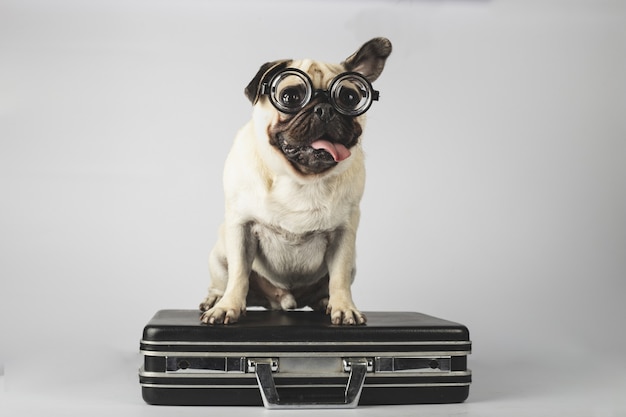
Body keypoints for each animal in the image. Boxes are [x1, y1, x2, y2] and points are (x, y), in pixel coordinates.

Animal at [199, 36, 390, 324]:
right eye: (290, 97)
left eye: (349, 97)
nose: (324, 109)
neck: (301, 179)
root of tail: (282, 300)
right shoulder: (241, 227)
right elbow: (239, 274)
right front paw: (228, 307)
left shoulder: (344, 235)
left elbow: (339, 277)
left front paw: (344, 307)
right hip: (219, 256)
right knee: (224, 280)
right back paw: (215, 300)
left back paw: (325, 302)